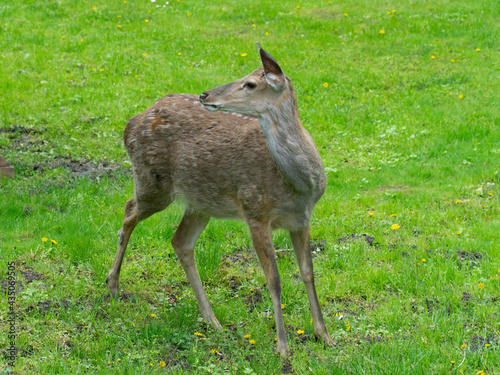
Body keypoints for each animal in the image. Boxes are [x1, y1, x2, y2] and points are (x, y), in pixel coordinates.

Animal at [108, 44, 336, 356]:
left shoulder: (302, 219)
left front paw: (324, 335)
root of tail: (131, 123)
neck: (299, 185)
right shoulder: (254, 211)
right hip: (153, 182)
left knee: (180, 241)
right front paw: (282, 347)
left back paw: (212, 320)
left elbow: (308, 272)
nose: (205, 95)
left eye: (250, 83)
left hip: (200, 201)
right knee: (129, 211)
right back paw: (112, 283)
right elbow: (274, 280)